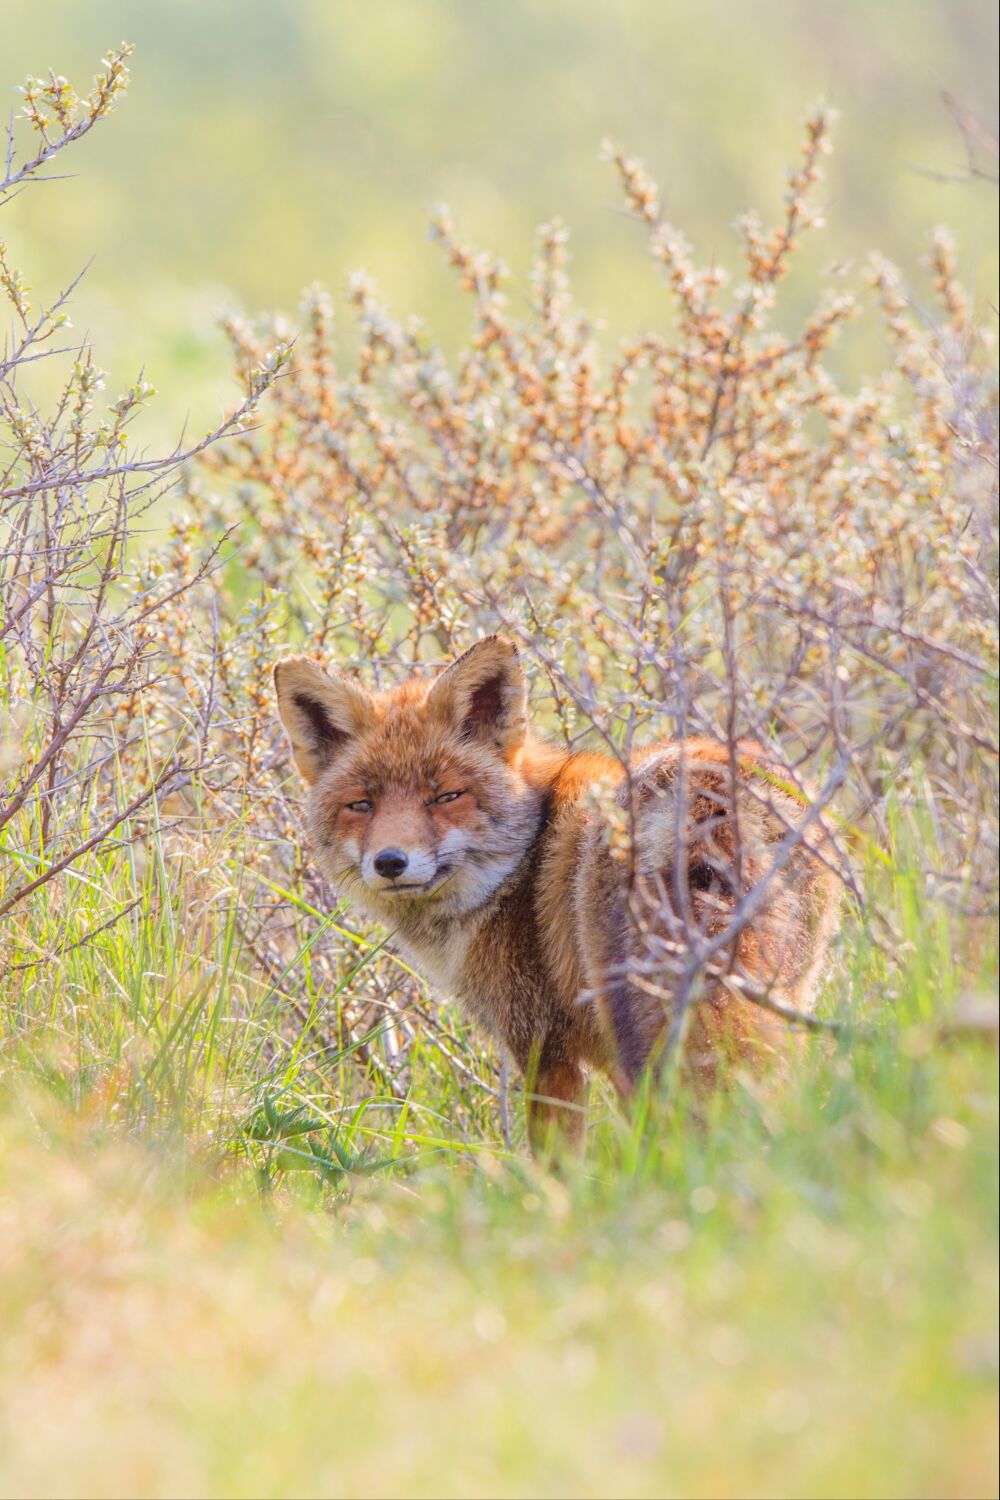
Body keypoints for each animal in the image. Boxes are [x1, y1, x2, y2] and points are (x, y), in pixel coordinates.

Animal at [271, 633, 839, 1146]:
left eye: (447, 796)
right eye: (361, 805)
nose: (390, 862)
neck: (521, 863)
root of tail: (709, 797)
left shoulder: (544, 1047)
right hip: (779, 995)